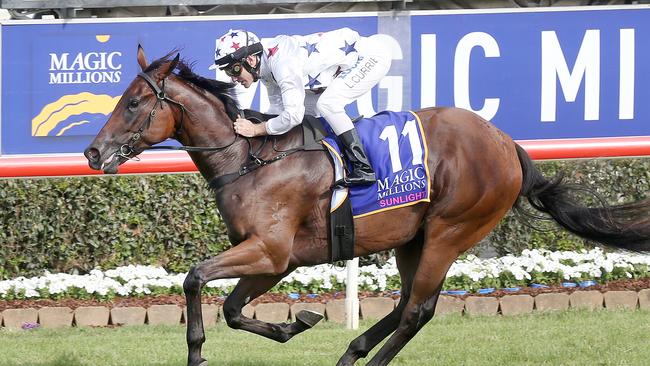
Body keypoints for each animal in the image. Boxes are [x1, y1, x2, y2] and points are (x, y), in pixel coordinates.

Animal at [85, 47, 648, 364]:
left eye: (132, 103)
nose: (93, 153)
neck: (250, 158)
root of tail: (507, 144)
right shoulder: (275, 260)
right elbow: (232, 308)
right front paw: (294, 324)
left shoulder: (270, 251)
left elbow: (195, 279)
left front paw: (199, 353)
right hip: (413, 238)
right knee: (406, 303)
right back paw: (351, 353)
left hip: (451, 229)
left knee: (417, 311)